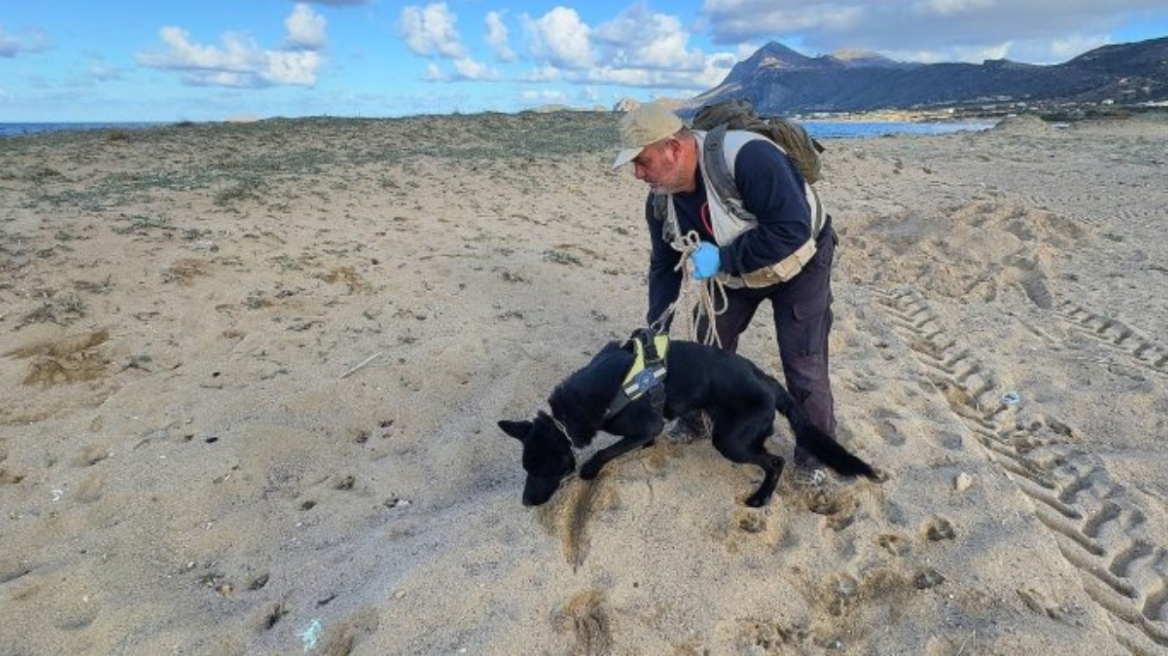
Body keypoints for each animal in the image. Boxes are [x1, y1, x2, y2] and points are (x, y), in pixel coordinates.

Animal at [495, 336, 878, 506]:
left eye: (542, 468)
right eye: (526, 467)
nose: (526, 502)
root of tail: (769, 382)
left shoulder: (645, 425)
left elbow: (607, 451)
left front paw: (590, 469)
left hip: (730, 440)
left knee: (775, 461)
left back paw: (761, 498)